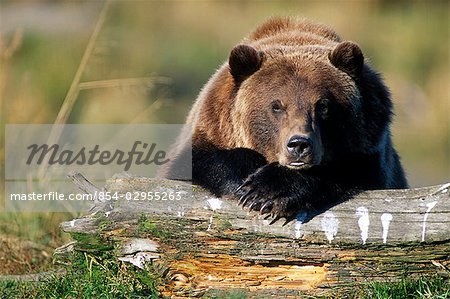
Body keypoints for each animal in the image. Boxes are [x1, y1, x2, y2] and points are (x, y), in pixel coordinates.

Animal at [163, 17, 408, 223]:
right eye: (276, 105)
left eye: (323, 106)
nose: (298, 145)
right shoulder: (211, 127)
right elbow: (200, 162)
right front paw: (248, 179)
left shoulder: (371, 143)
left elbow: (346, 168)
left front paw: (267, 191)